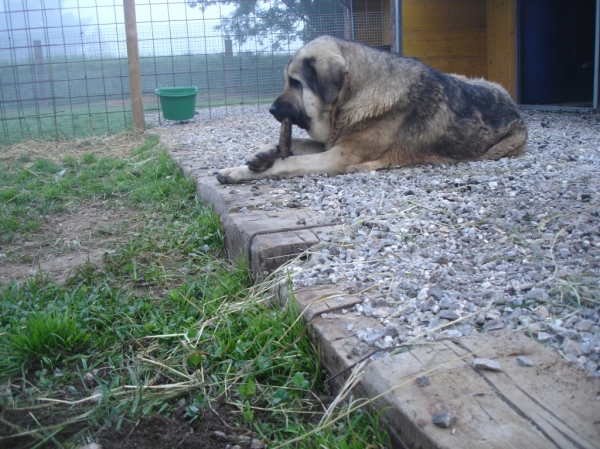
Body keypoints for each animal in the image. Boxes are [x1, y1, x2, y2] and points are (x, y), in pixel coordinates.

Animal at [218, 34, 528, 183]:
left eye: (296, 83)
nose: (271, 109)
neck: (352, 97)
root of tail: (513, 102)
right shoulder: (333, 144)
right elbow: (296, 143)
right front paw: (262, 153)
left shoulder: (339, 156)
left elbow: (289, 162)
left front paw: (241, 172)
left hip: (501, 148)